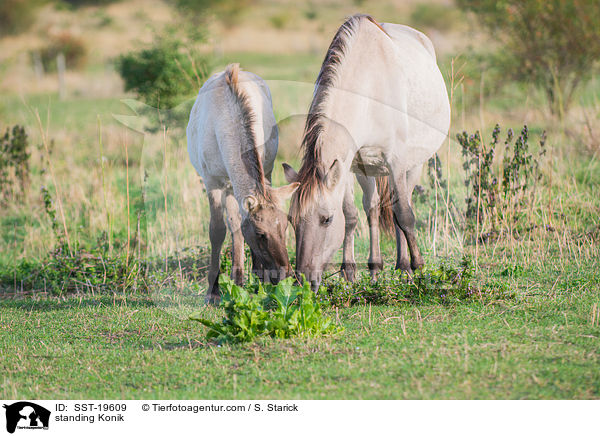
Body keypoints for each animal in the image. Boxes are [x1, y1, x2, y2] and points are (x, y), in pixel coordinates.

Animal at [189, 63, 298, 304]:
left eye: (285, 227)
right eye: (260, 234)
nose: (284, 274)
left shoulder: (266, 172)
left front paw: (258, 279)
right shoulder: (213, 182)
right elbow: (218, 230)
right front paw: (213, 292)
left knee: (237, 225)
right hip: (228, 188)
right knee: (234, 225)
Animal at [284, 14, 450, 290]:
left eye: (326, 219)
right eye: (291, 220)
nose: (304, 281)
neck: (368, 87)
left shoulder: (397, 162)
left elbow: (404, 215)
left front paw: (416, 267)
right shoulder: (349, 163)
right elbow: (351, 215)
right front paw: (349, 272)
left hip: (413, 166)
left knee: (400, 206)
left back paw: (404, 266)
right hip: (367, 168)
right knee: (372, 209)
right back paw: (375, 269)